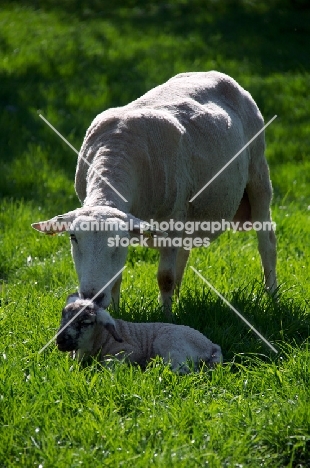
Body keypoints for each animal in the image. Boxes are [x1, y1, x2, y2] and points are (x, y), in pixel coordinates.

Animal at [32, 72, 278, 314]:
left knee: (267, 242)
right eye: (73, 237)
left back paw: (272, 297)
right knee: (184, 253)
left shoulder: (172, 220)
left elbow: (165, 278)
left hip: (258, 173)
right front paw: (118, 314)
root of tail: (215, 73)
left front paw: (166, 316)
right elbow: (118, 278)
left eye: (118, 240)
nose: (92, 297)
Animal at [57, 294, 222, 374]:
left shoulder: (131, 350)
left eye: (85, 322)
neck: (103, 338)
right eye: (62, 317)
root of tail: (211, 345)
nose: (59, 340)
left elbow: (107, 363)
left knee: (183, 370)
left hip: (169, 342)